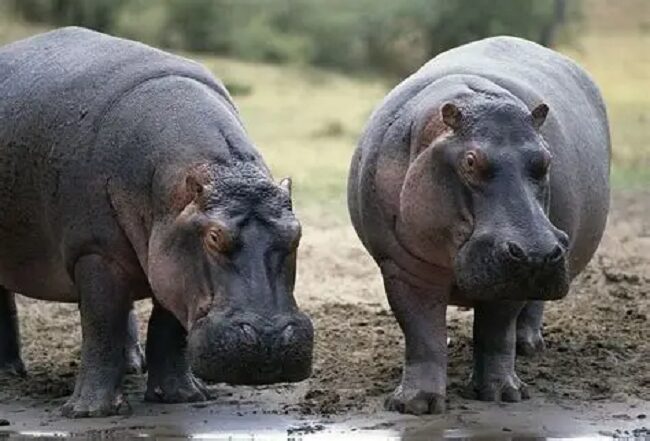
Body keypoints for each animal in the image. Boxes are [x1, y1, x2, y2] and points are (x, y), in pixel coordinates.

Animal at [0, 27, 313, 417]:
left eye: (296, 233)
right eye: (213, 237)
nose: (269, 340)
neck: (225, 172)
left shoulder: (173, 259)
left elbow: (167, 329)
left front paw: (183, 396)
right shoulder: (95, 251)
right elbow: (101, 325)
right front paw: (89, 412)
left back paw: (132, 365)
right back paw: (10, 374)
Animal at [348, 36, 610, 414]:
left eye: (546, 160)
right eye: (470, 161)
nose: (538, 253)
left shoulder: (515, 275)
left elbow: (496, 333)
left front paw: (503, 394)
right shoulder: (403, 266)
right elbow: (422, 334)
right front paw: (416, 405)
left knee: (531, 309)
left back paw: (528, 346)